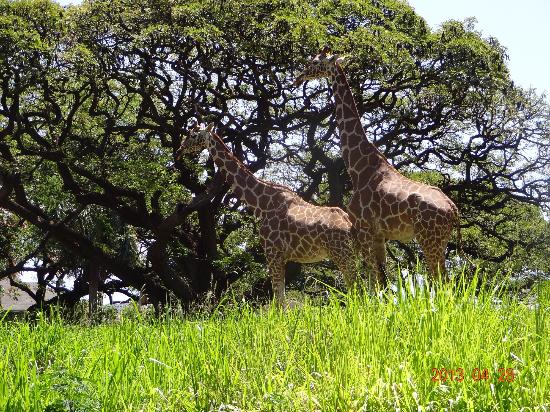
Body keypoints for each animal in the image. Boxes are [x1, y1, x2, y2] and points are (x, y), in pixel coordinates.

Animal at [177, 122, 364, 306]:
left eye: (193, 135)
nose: (179, 150)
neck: (262, 203)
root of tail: (350, 224)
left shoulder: (272, 253)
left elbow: (279, 300)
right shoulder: (281, 257)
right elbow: (281, 299)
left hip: (342, 254)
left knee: (358, 289)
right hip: (351, 253)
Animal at [296, 48, 464, 284]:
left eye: (313, 62)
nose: (298, 77)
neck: (357, 167)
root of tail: (453, 209)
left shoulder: (364, 230)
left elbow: (374, 282)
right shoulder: (379, 237)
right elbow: (383, 282)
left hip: (429, 238)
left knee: (442, 281)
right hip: (439, 240)